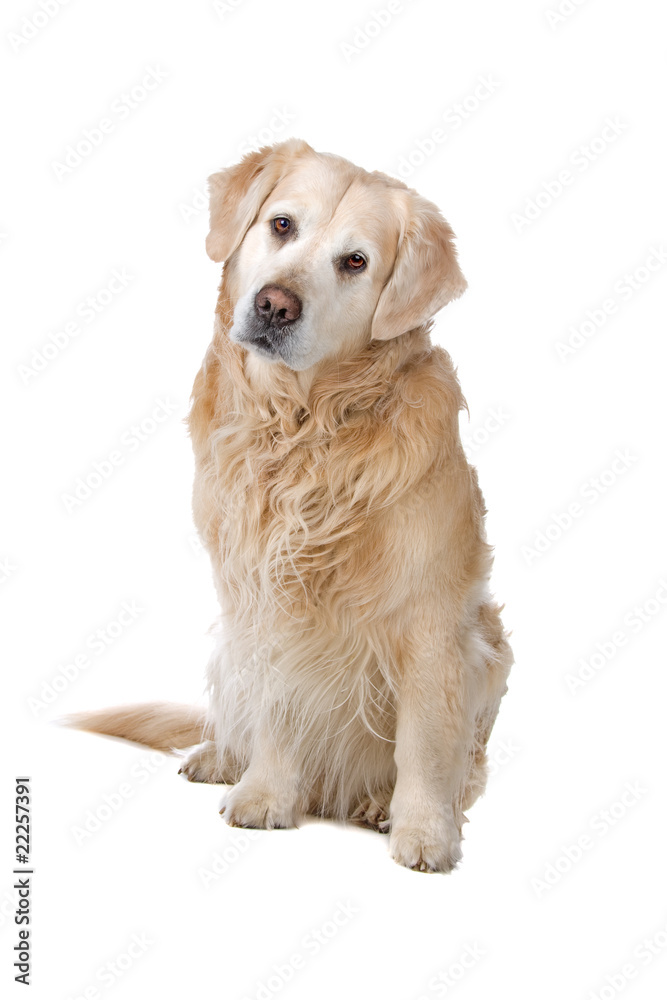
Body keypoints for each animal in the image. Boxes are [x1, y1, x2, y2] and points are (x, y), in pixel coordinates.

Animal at [69, 137, 512, 872]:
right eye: (281, 225)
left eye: (355, 261)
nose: (274, 305)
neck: (302, 427)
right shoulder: (264, 597)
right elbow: (277, 705)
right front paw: (265, 794)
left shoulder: (430, 618)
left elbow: (425, 741)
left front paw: (424, 832)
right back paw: (221, 758)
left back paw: (375, 804)